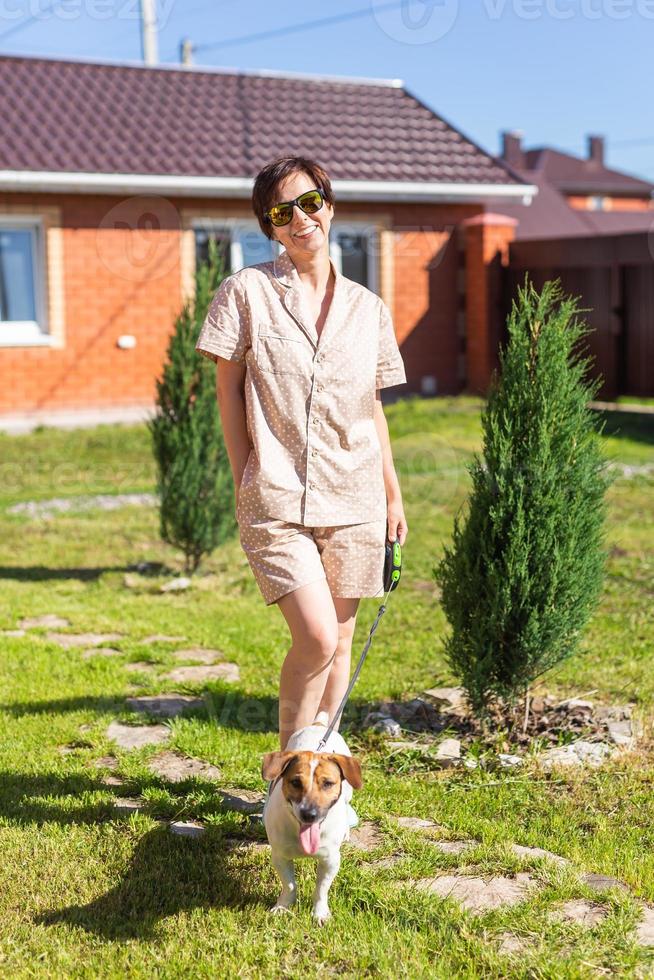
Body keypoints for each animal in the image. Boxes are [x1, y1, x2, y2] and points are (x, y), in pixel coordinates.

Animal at [262, 712, 364, 928]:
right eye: (295, 782)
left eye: (328, 783)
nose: (310, 814)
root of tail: (319, 725)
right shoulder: (280, 856)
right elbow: (289, 885)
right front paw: (283, 907)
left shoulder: (330, 859)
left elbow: (321, 889)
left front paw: (320, 913)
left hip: (349, 793)